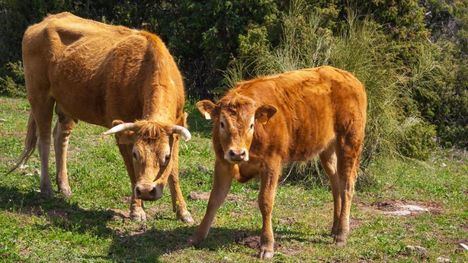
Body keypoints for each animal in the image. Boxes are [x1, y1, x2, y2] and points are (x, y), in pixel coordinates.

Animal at [189, 66, 366, 260]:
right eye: (221, 123)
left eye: (251, 125)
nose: (237, 153)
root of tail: (346, 75)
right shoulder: (223, 163)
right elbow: (214, 199)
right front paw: (197, 237)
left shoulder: (271, 163)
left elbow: (265, 202)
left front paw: (267, 246)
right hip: (327, 149)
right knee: (336, 183)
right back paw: (335, 228)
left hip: (350, 141)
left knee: (347, 185)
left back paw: (341, 234)